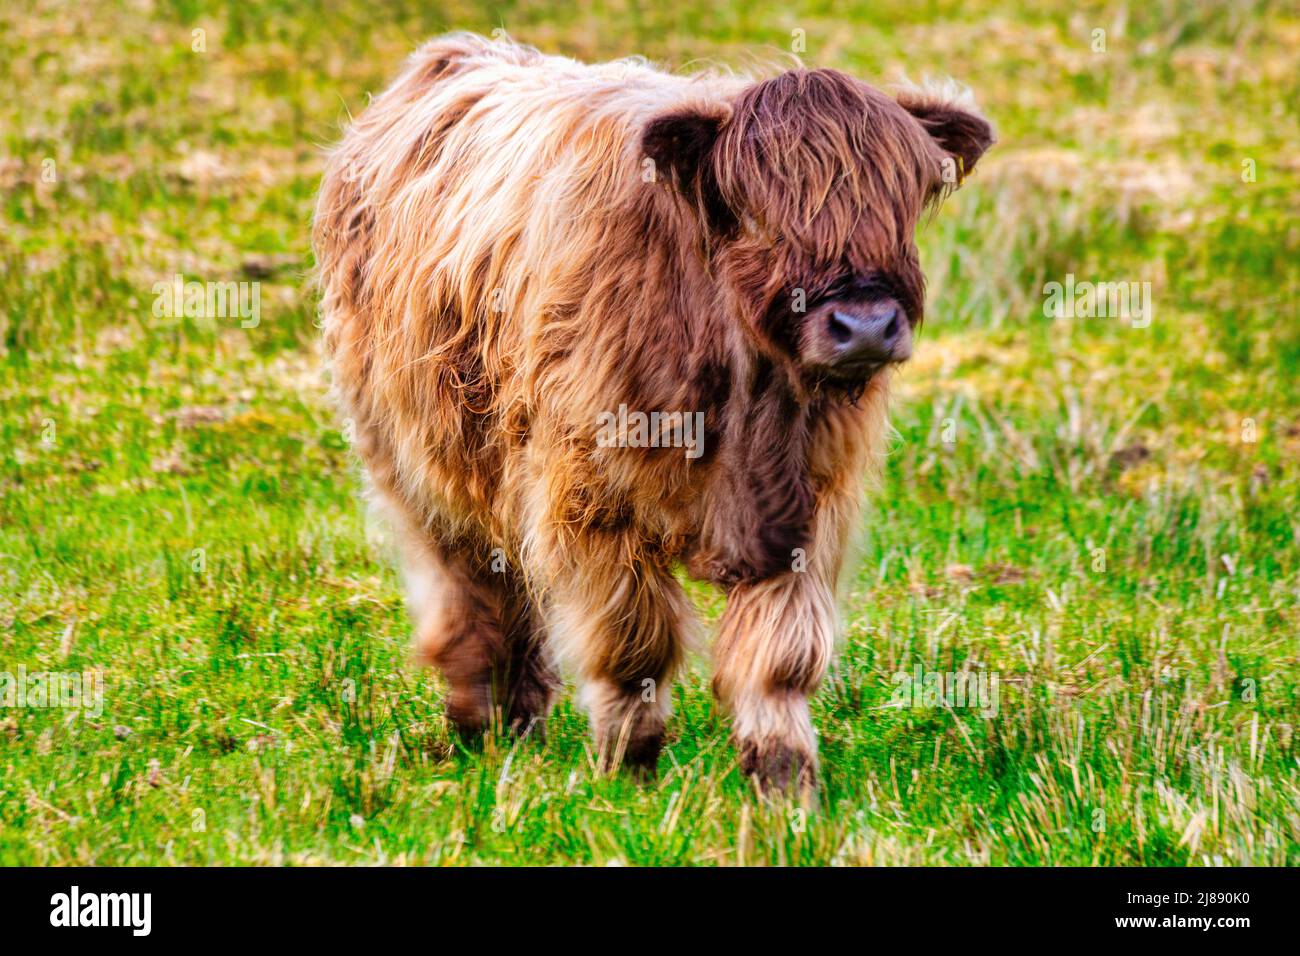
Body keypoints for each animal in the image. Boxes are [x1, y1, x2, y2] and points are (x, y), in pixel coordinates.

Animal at [314, 31, 993, 790]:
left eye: (901, 205)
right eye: (758, 213)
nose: (866, 325)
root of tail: (456, 53)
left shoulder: (805, 506)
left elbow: (782, 655)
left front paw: (784, 777)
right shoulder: (591, 497)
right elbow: (633, 643)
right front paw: (628, 766)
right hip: (417, 460)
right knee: (471, 586)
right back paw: (482, 726)